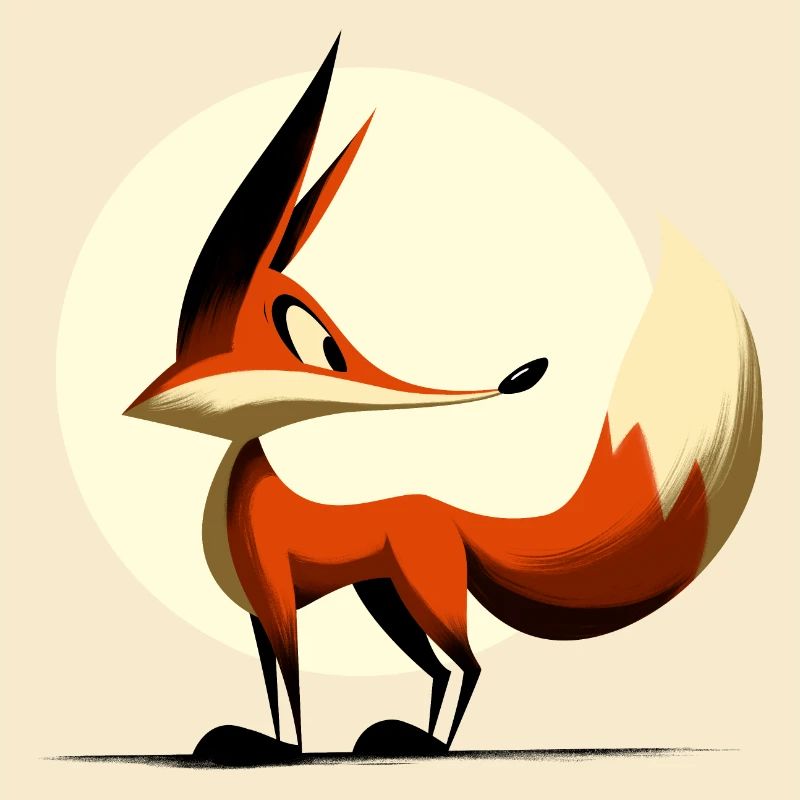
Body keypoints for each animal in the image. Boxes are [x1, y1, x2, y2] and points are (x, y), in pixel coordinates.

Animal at [124, 37, 762, 764]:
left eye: (318, 342)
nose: (161, 392)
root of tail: (447, 513)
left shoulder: (278, 599)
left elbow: (292, 683)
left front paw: (286, 751)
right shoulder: (259, 615)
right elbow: (272, 688)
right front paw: (258, 741)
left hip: (419, 594)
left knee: (470, 665)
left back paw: (431, 743)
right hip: (386, 598)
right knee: (439, 667)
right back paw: (404, 738)